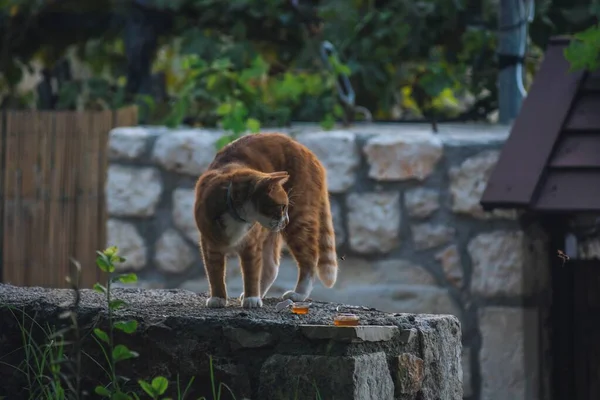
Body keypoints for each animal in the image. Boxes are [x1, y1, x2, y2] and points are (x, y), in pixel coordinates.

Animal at [196, 133, 340, 308]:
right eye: (282, 207)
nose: (286, 220)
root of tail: (307, 150)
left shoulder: (251, 245)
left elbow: (251, 272)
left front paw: (252, 298)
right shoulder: (210, 245)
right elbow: (214, 272)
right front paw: (218, 298)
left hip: (298, 222)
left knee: (309, 259)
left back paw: (299, 293)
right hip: (273, 232)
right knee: (272, 267)